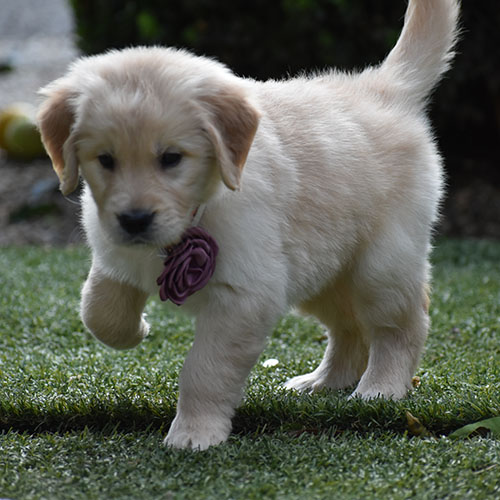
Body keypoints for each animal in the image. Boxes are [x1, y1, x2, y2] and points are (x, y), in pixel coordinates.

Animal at [38, 0, 459, 450]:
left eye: (171, 159)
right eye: (105, 159)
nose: (135, 220)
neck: (196, 214)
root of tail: (382, 86)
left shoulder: (245, 296)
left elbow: (205, 369)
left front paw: (194, 433)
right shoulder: (116, 254)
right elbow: (97, 310)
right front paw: (135, 330)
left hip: (380, 265)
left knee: (403, 324)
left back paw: (381, 388)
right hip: (319, 267)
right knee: (349, 327)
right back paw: (323, 382)